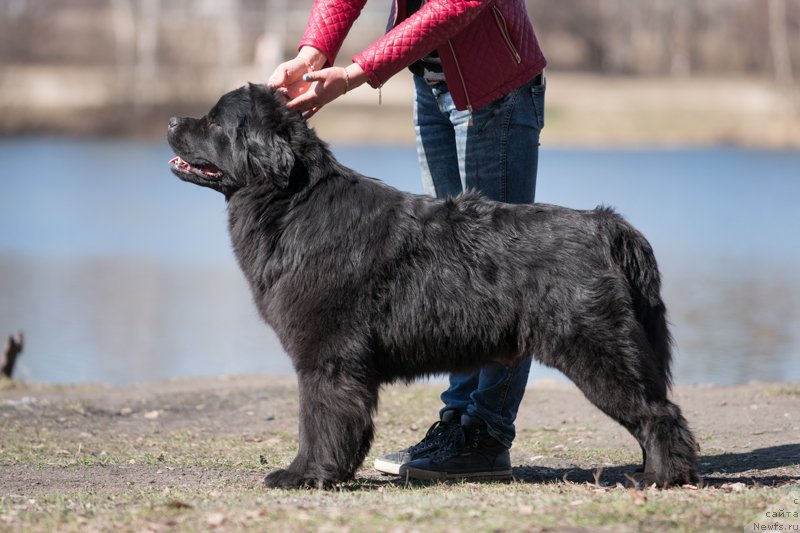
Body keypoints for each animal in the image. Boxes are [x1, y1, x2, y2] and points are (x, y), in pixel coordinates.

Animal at [166, 85, 696, 488]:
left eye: (214, 122)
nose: (171, 119)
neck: (292, 204)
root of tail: (604, 224)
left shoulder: (326, 358)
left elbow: (317, 422)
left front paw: (304, 474)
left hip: (600, 350)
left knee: (659, 414)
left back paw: (661, 478)